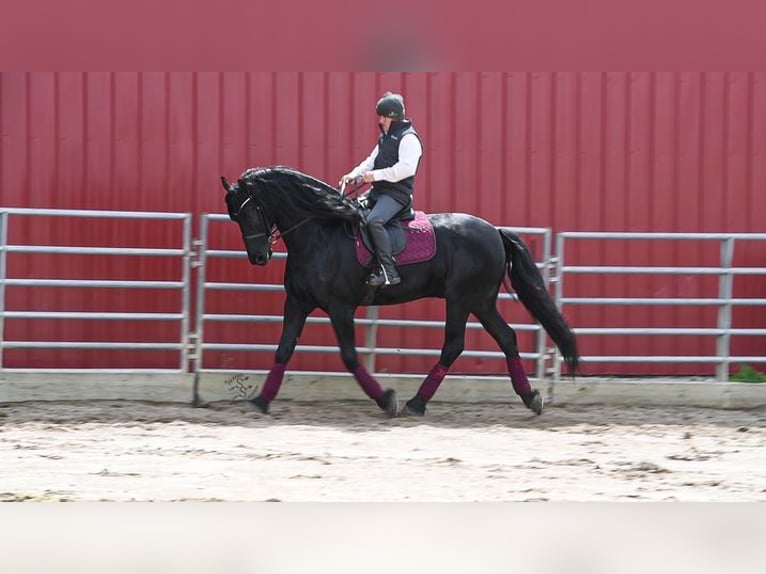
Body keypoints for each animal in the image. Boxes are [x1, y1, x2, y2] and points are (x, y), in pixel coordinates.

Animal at [219, 166, 580, 418]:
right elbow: (283, 350)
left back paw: (415, 403)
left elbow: (349, 356)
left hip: (462, 299)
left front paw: (385, 399)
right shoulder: (296, 303)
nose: (259, 256)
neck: (319, 235)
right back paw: (531, 398)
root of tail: (494, 231)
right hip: (482, 301)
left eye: (250, 210)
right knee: (506, 338)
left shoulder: (339, 307)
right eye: (234, 216)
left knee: (454, 345)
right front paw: (260, 401)